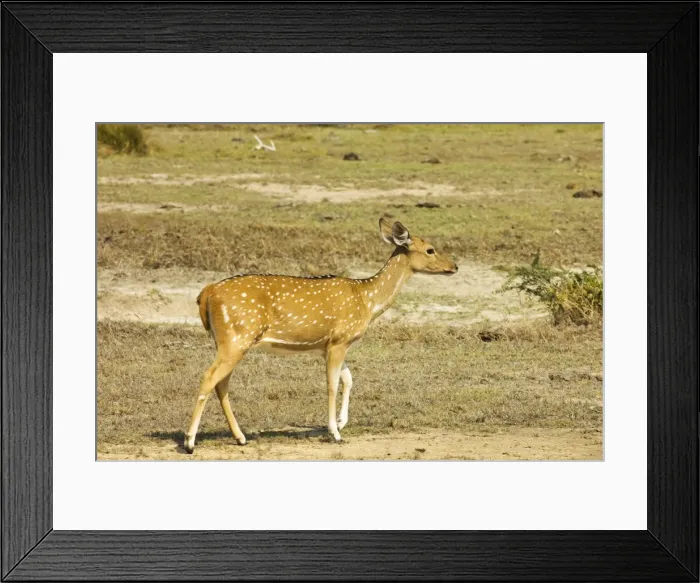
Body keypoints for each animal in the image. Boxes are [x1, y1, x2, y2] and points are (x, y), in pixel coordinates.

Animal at [184, 218, 458, 453]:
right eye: (430, 249)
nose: (454, 266)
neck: (367, 301)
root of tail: (207, 293)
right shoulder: (339, 340)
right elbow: (332, 384)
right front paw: (335, 433)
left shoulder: (331, 344)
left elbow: (348, 379)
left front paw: (342, 421)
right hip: (236, 337)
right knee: (209, 378)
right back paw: (190, 442)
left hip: (229, 341)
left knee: (221, 383)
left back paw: (240, 437)